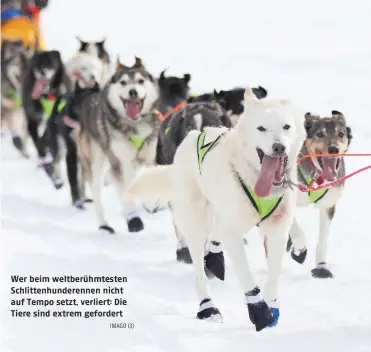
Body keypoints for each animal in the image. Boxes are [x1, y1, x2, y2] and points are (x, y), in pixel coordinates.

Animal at [123, 87, 306, 330]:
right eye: (261, 128)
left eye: (286, 127)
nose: (278, 147)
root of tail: (193, 137)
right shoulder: (234, 231)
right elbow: (246, 274)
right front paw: (259, 311)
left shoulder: (277, 225)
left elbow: (274, 272)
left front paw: (272, 305)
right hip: (195, 221)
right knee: (199, 268)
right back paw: (207, 306)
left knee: (217, 236)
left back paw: (215, 258)